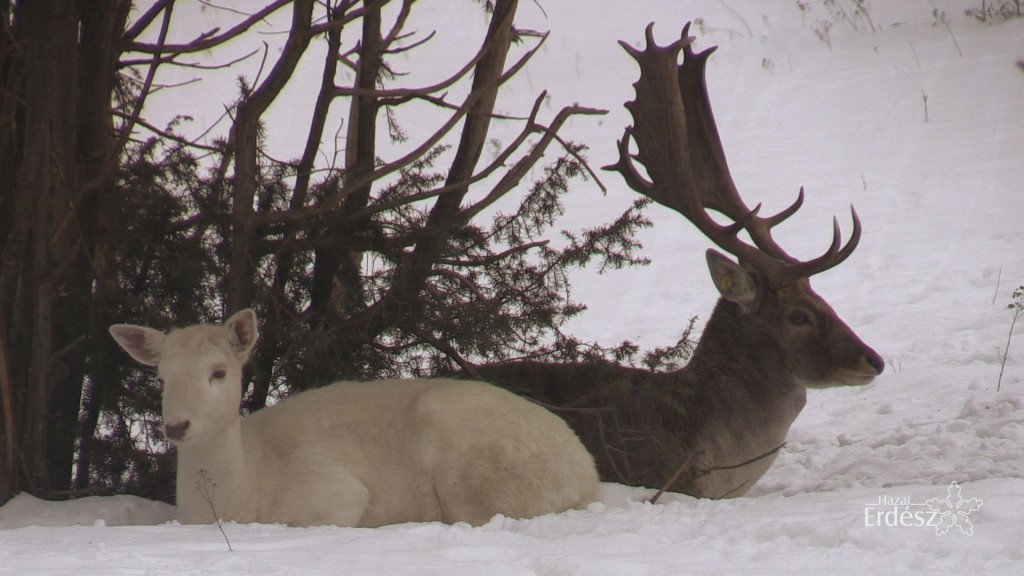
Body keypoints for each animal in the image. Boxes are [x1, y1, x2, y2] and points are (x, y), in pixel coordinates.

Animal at [110, 309, 598, 524]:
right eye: (162, 377)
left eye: (219, 372)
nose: (177, 426)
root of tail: (587, 473)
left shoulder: (333, 492)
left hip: (478, 473)